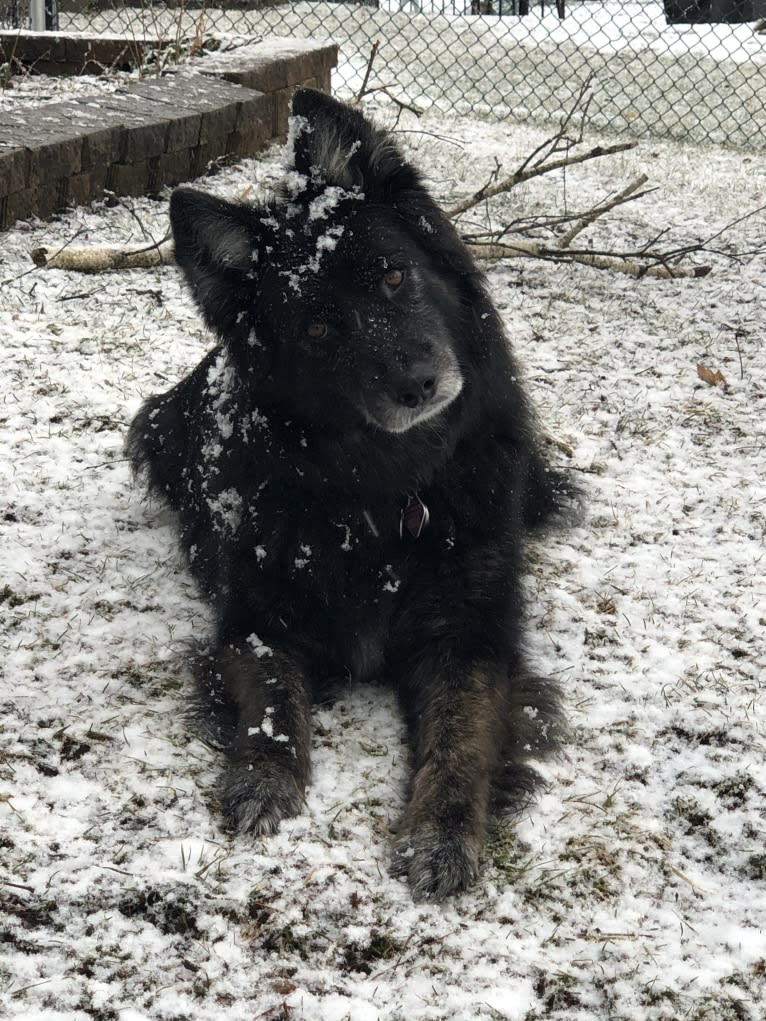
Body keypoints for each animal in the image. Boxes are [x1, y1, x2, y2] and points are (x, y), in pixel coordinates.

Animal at [127, 89, 571, 902]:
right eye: (318, 327)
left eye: (394, 276)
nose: (417, 385)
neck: (388, 490)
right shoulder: (256, 619)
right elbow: (273, 695)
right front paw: (265, 777)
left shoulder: (471, 636)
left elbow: (461, 733)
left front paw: (442, 832)